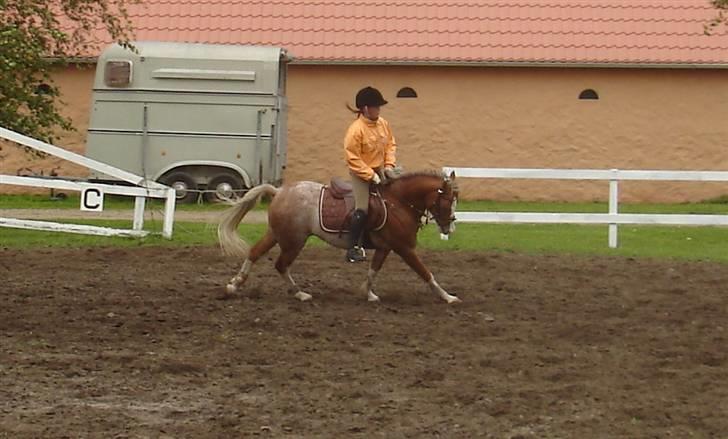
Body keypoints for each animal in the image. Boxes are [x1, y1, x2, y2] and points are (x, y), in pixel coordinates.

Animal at [213, 170, 460, 304]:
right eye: (448, 200)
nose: (450, 227)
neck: (398, 202)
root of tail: (280, 191)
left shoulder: (385, 248)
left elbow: (373, 271)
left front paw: (368, 293)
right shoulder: (405, 249)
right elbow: (426, 273)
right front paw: (447, 297)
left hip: (277, 235)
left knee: (255, 253)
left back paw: (233, 286)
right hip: (294, 241)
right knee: (281, 264)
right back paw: (300, 294)